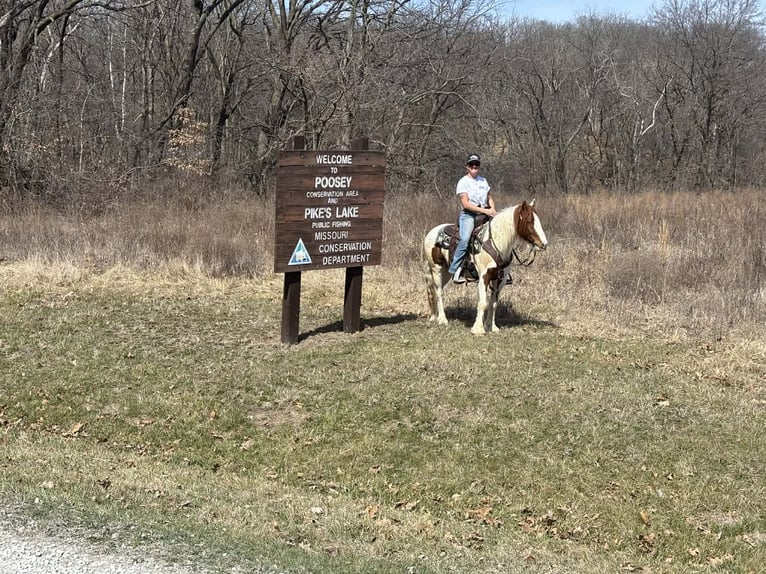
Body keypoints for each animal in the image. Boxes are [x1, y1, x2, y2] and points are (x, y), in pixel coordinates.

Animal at [423, 201, 548, 334]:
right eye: (529, 221)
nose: (544, 244)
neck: (495, 243)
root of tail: (432, 232)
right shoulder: (484, 276)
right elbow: (483, 303)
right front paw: (478, 329)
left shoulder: (500, 279)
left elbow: (493, 304)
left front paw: (491, 326)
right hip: (436, 269)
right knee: (438, 292)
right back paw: (442, 319)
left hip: (446, 272)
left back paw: (435, 316)